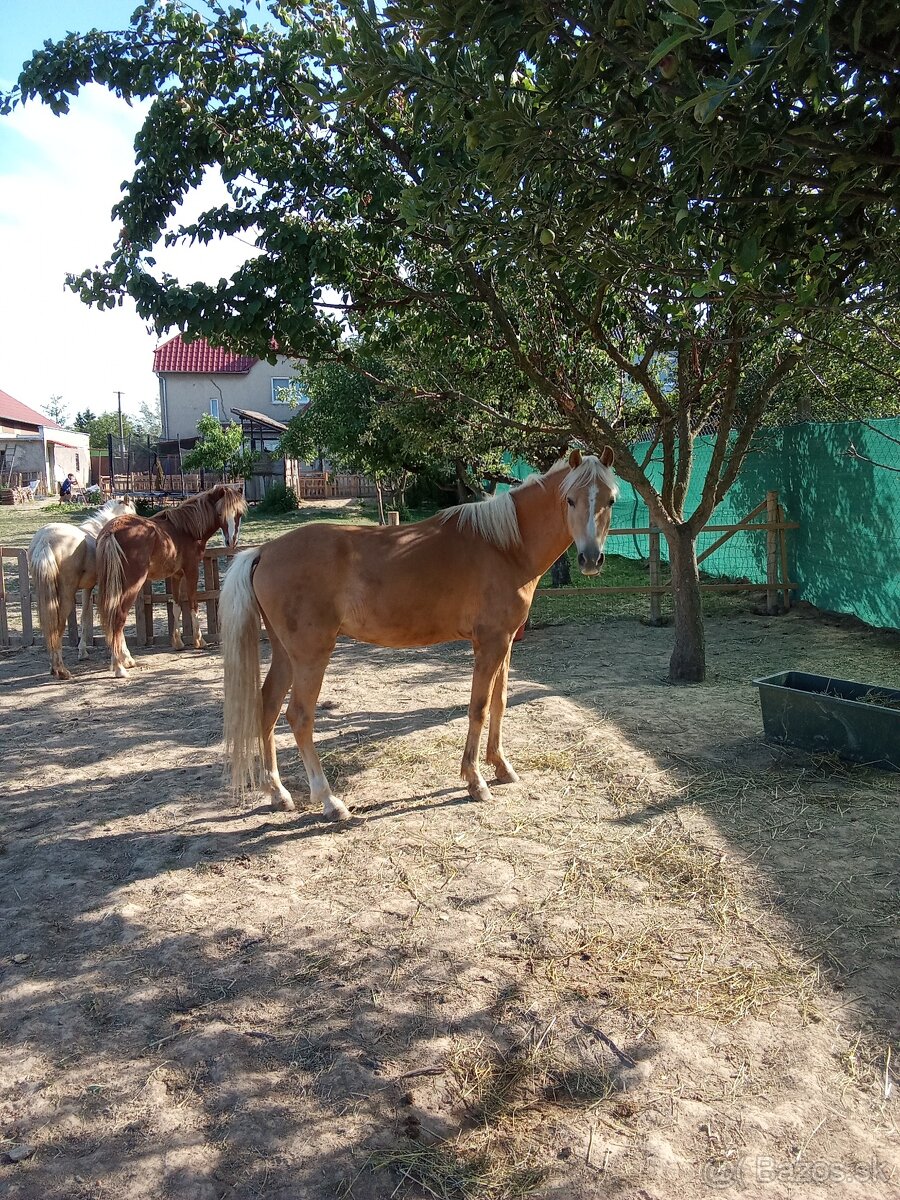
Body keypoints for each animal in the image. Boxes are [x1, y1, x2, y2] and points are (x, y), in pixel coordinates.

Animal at [28, 497, 137, 680]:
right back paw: (61, 670)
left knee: (50, 626)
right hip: (66, 593)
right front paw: (125, 659)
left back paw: (54, 668)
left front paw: (83, 652)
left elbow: (85, 618)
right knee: (58, 625)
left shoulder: (88, 588)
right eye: (133, 513)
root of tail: (45, 540)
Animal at [96, 484, 247, 678]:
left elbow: (176, 606)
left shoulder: (176, 575)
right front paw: (199, 640)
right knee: (118, 618)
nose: (231, 541)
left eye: (239, 514)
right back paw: (119, 667)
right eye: (220, 513)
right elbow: (192, 603)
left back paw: (127, 659)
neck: (186, 530)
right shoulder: (191, 571)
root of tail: (111, 531)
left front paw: (178, 642)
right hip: (132, 585)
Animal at [220, 449, 618, 822]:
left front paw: (502, 767)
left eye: (611, 499)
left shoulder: (505, 643)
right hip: (311, 655)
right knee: (299, 717)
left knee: (268, 708)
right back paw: (330, 801)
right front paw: (475, 781)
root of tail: (264, 551)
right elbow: (478, 707)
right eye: (570, 500)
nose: (590, 560)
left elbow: (501, 703)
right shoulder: (489, 643)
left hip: (285, 654)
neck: (504, 546)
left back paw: (278, 793)